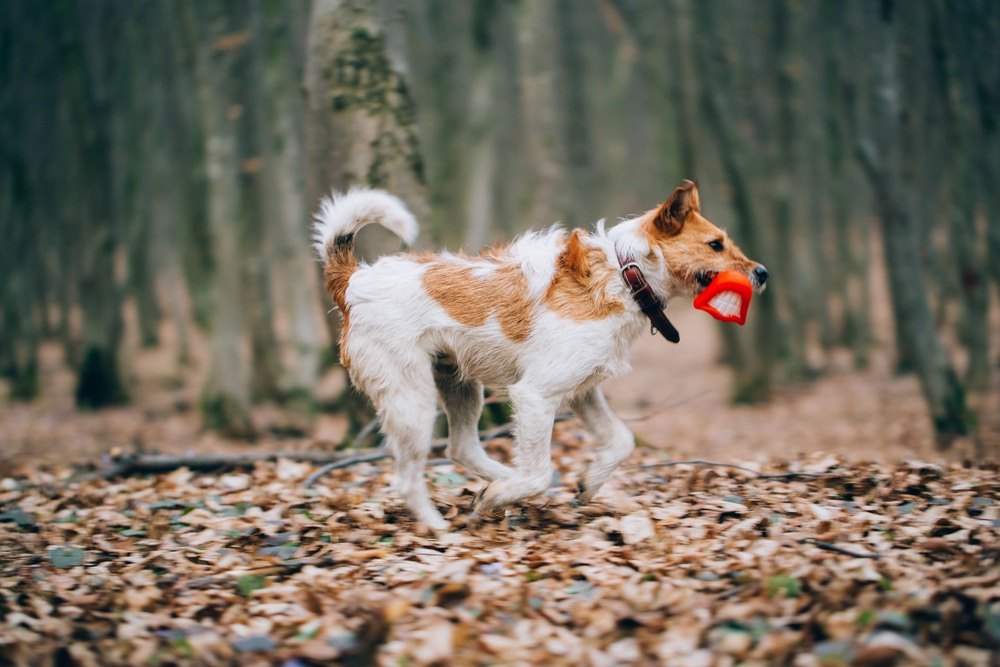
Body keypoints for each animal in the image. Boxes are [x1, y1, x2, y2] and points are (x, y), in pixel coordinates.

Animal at [312, 180, 764, 528]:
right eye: (715, 244)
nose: (763, 273)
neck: (625, 272)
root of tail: (354, 280)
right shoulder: (535, 395)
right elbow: (541, 473)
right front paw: (503, 497)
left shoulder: (583, 392)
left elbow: (621, 440)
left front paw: (588, 482)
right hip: (413, 400)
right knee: (409, 478)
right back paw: (443, 527)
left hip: (461, 385)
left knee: (461, 447)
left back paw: (499, 480)